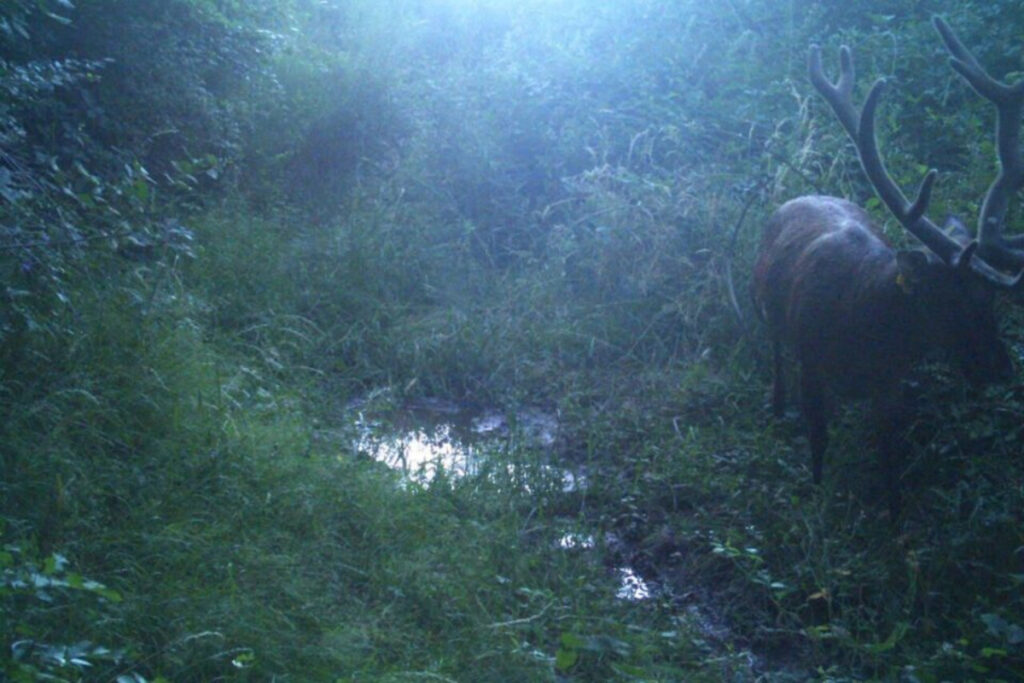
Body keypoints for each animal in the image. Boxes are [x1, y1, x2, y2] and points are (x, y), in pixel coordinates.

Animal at [752, 17, 1024, 517]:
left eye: (990, 300)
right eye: (950, 303)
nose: (1001, 369)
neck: (863, 328)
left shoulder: (890, 383)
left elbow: (889, 452)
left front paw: (895, 515)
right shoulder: (810, 361)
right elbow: (818, 439)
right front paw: (817, 492)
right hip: (764, 306)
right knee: (775, 349)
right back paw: (777, 405)